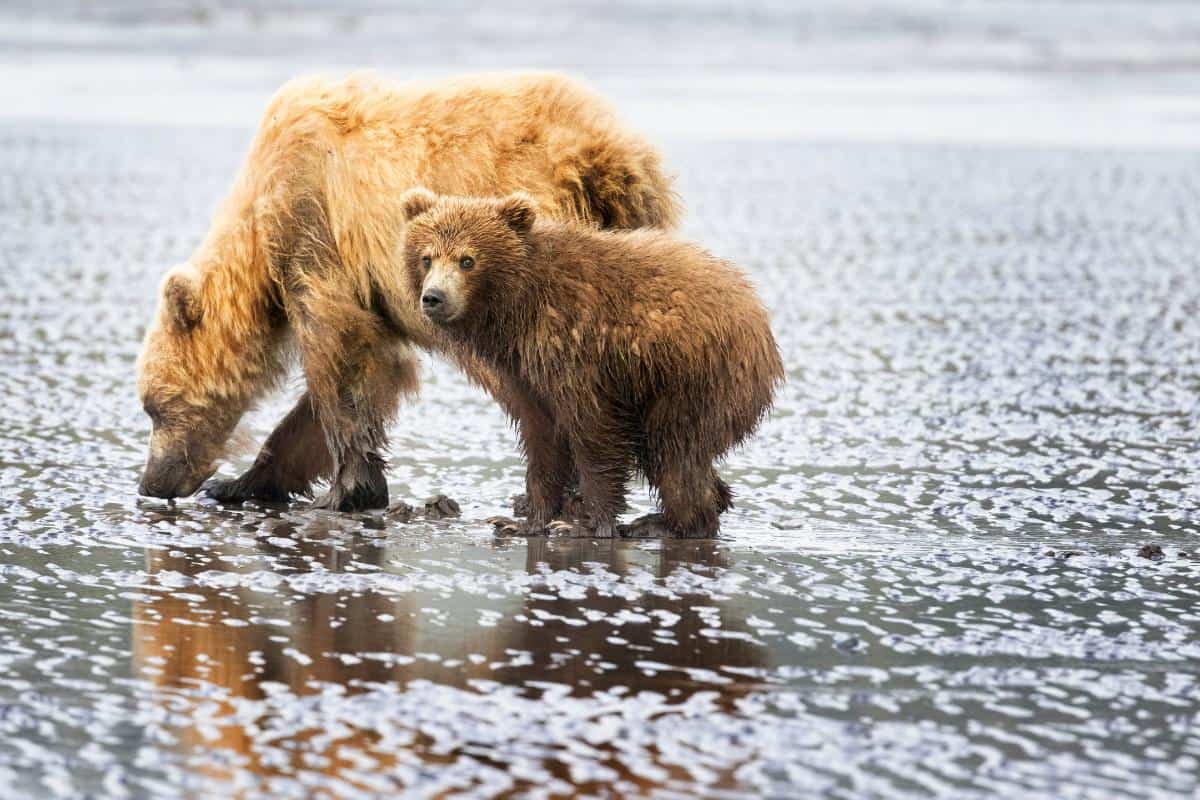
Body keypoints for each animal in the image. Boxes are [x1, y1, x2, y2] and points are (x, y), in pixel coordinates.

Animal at [136, 71, 680, 511]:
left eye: (155, 406)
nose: (151, 484)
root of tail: (607, 161)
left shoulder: (311, 220)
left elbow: (338, 353)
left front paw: (342, 489)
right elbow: (372, 366)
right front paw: (245, 482)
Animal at [398, 189, 784, 538]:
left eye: (467, 259)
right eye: (427, 257)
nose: (434, 297)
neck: (518, 305)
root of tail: (759, 316)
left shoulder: (576, 347)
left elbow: (593, 431)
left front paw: (584, 523)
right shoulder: (524, 372)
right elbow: (541, 436)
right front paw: (522, 519)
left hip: (693, 377)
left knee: (674, 452)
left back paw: (670, 524)